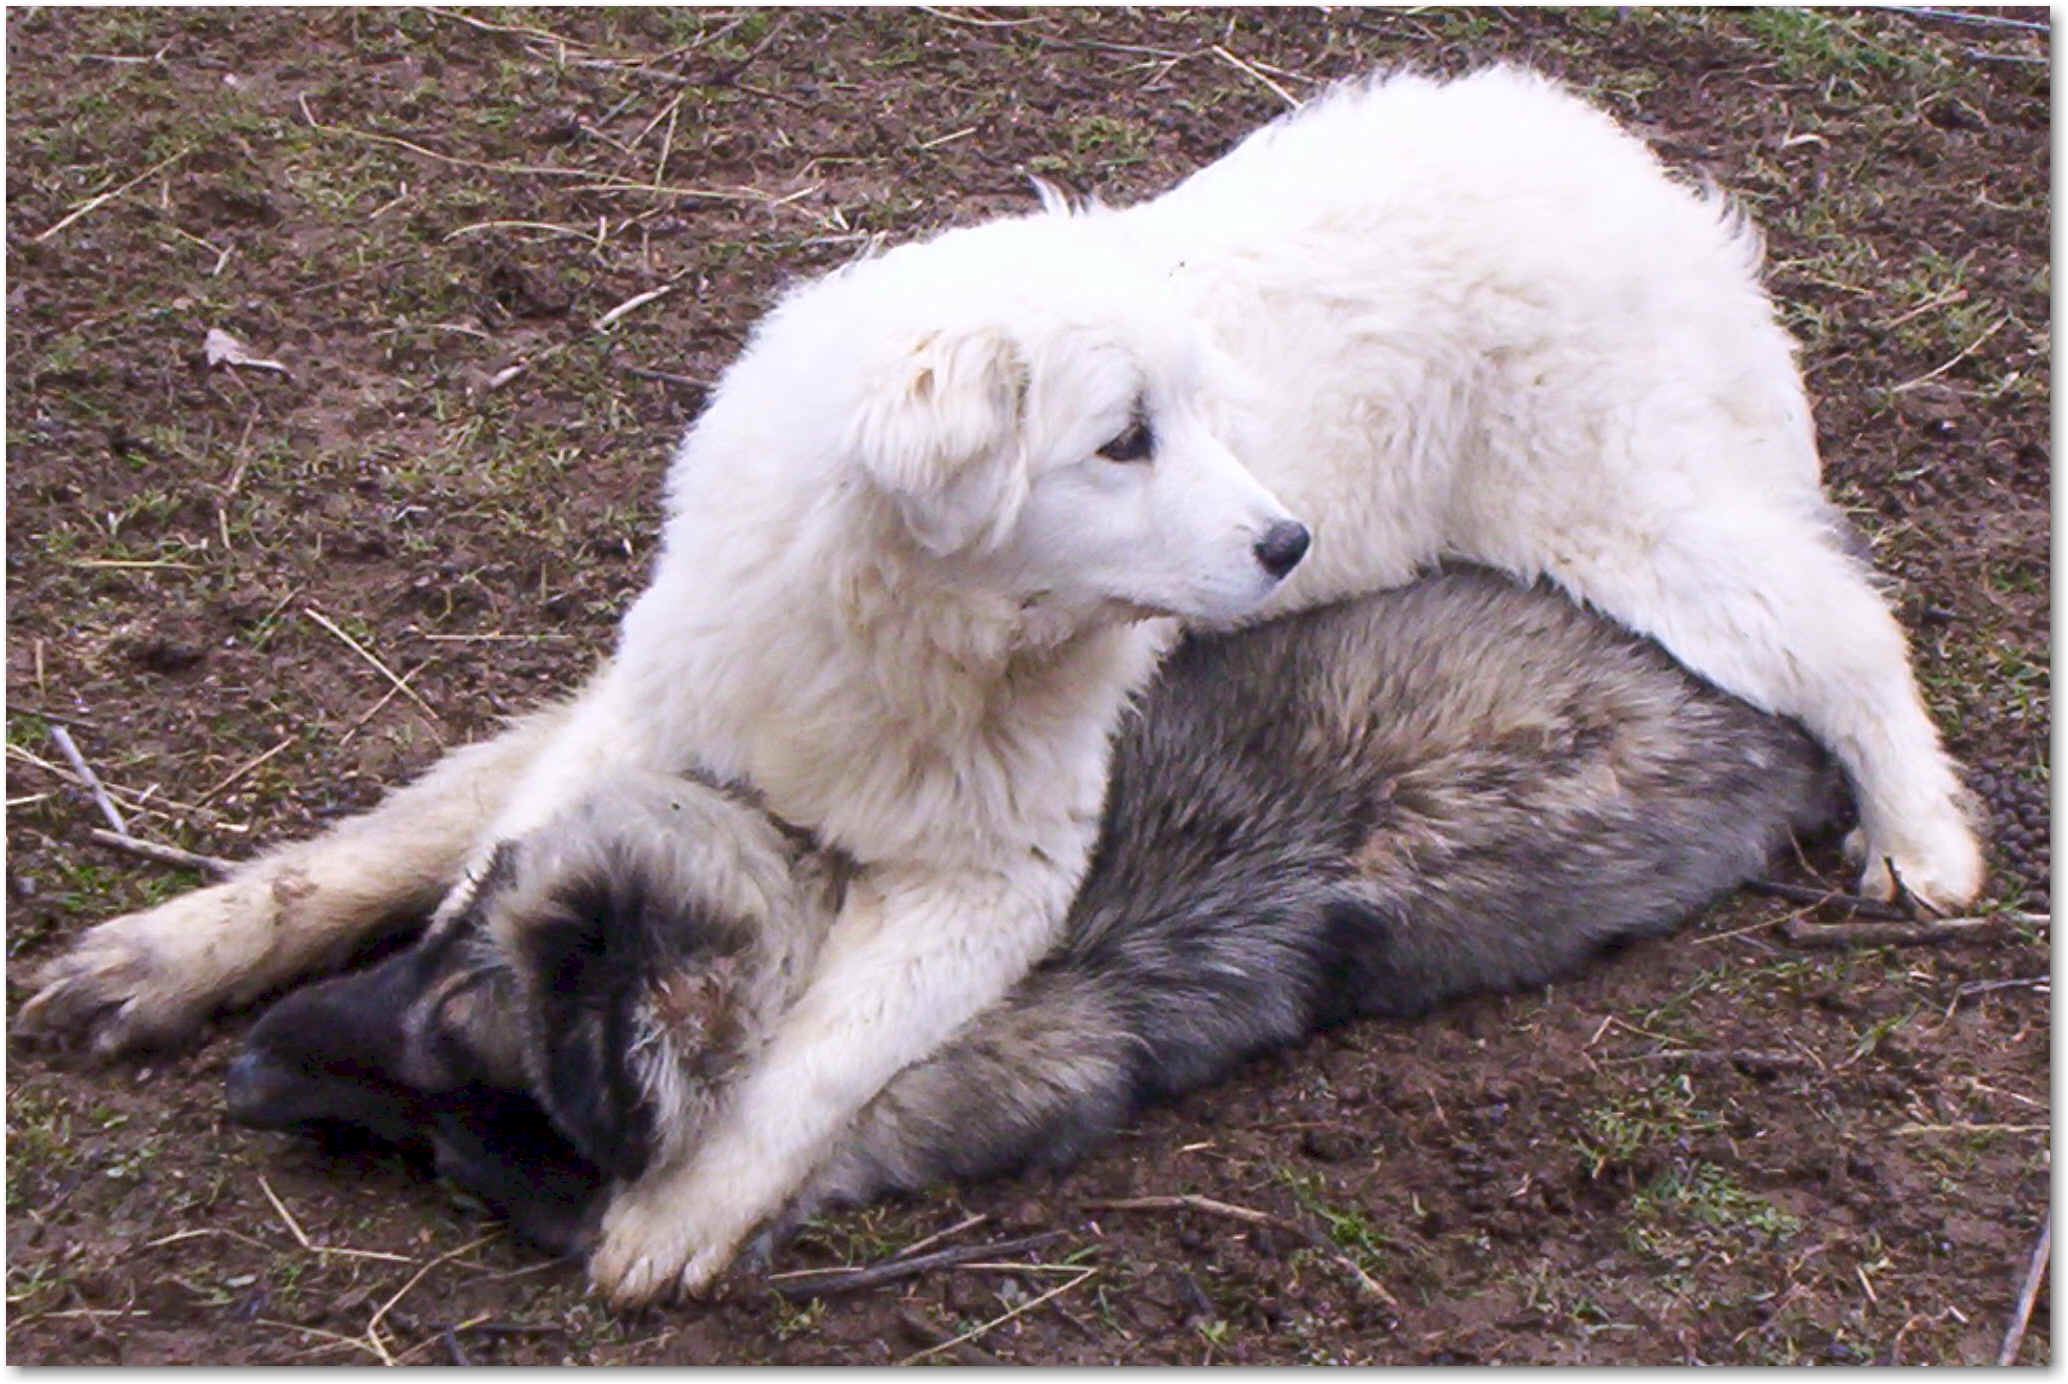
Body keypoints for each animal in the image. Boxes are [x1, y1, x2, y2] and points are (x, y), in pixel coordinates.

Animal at [20, 67, 1985, 1307]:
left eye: (1197, 421)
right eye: (1125, 439)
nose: (1286, 539)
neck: (895, 631)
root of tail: (1634, 174)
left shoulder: (997, 879)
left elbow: (814, 1056)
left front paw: (676, 1208)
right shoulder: (641, 717)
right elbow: (436, 845)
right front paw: (175, 957)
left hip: (1633, 520)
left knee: (1844, 631)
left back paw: (1924, 840)